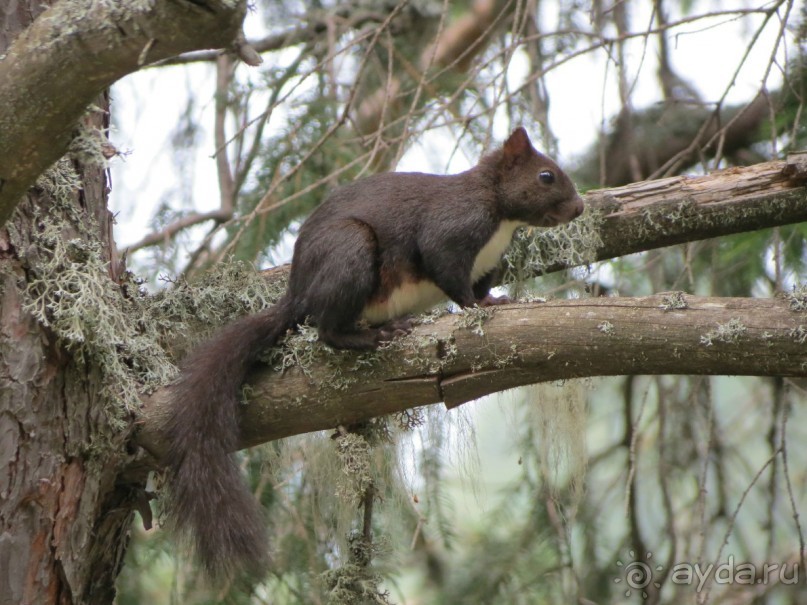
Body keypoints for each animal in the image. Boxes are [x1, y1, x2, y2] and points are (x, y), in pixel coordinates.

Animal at [159, 126, 588, 576]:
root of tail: (298, 292)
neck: (501, 218)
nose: (579, 208)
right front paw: (478, 307)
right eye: (546, 176)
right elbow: (451, 277)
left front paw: (493, 299)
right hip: (350, 251)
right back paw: (374, 335)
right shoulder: (451, 232)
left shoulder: (487, 264)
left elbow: (480, 284)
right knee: (329, 330)